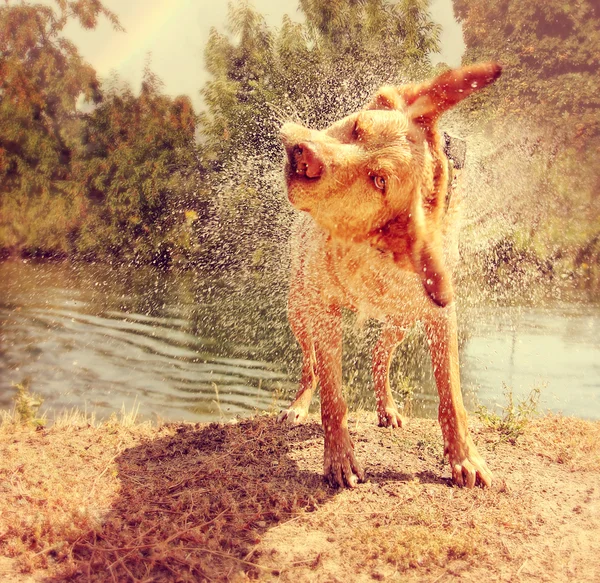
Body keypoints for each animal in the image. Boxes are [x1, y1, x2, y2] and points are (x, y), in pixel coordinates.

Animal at [278, 62, 502, 488]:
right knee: (310, 364)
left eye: (378, 180)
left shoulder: (439, 313)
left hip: (402, 317)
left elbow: (451, 394)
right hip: (298, 308)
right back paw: (298, 406)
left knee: (379, 354)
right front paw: (340, 459)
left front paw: (465, 458)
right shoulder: (325, 309)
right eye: (356, 128)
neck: (368, 245)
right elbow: (333, 396)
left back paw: (387, 407)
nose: (304, 154)